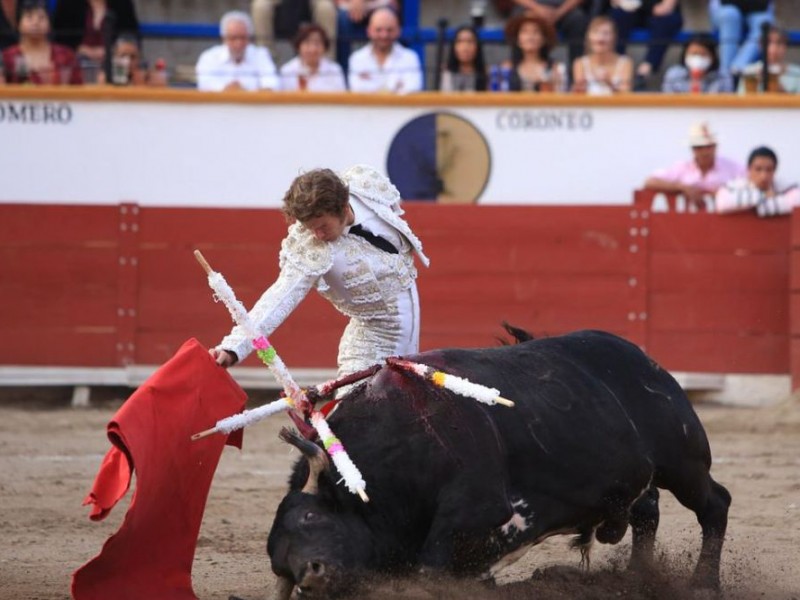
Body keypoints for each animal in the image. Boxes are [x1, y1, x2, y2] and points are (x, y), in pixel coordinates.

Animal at [266, 330, 728, 596]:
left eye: (310, 516)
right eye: (279, 565)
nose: (310, 577)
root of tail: (640, 356)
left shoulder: (476, 504)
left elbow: (429, 568)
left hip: (683, 461)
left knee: (714, 504)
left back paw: (703, 584)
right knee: (646, 510)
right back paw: (636, 578)